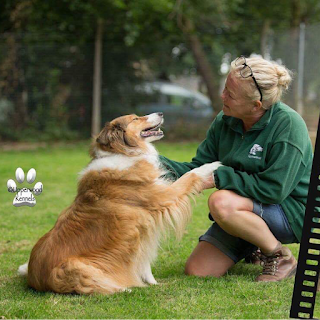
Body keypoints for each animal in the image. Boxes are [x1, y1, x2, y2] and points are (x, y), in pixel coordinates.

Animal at [18, 113, 222, 296]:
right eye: (135, 118)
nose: (161, 113)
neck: (124, 153)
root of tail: (35, 279)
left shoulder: (143, 229)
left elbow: (144, 261)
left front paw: (152, 282)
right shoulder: (163, 197)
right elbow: (190, 174)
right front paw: (212, 165)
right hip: (74, 267)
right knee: (94, 288)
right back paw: (126, 288)